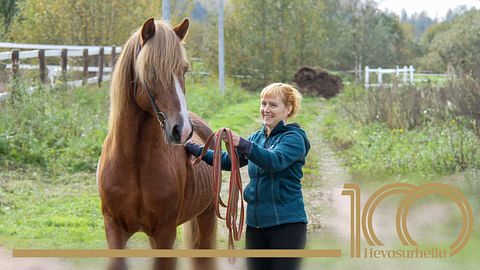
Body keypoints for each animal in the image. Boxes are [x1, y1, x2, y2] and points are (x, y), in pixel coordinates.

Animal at [96, 17, 217, 268]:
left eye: (185, 69)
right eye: (151, 69)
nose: (182, 129)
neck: (135, 163)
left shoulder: (164, 233)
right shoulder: (114, 229)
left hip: (206, 217)